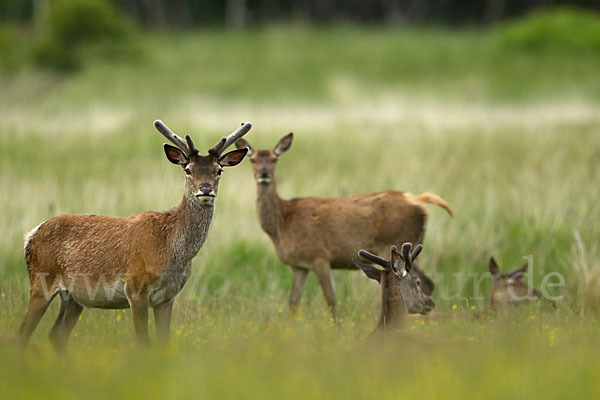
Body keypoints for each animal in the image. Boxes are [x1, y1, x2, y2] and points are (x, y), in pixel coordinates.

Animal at [18, 119, 252, 350]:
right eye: (188, 169)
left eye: (219, 170)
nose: (205, 189)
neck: (171, 251)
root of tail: (31, 235)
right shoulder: (136, 288)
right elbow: (144, 343)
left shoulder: (168, 298)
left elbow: (164, 343)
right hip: (41, 281)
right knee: (23, 333)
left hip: (75, 297)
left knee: (56, 334)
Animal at [234, 134, 450, 322]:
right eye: (252, 159)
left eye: (275, 158)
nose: (264, 173)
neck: (282, 223)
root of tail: (419, 199)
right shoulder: (299, 266)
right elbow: (293, 301)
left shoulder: (319, 256)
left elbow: (331, 299)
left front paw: (336, 327)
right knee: (427, 282)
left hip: (396, 241)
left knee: (423, 282)